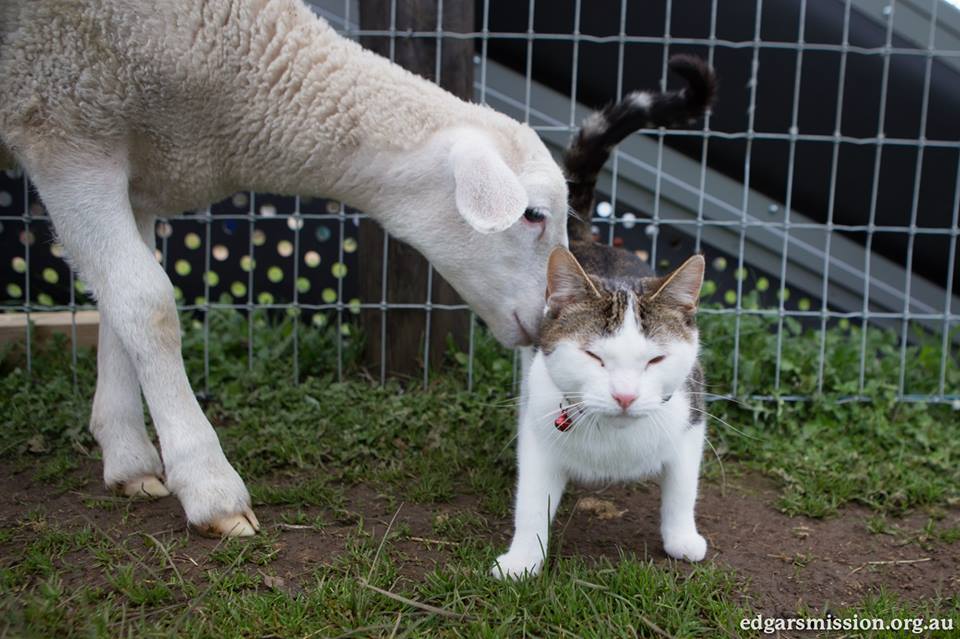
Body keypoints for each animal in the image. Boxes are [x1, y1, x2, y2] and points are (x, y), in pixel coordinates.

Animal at [1, 0, 568, 536]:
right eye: (533, 215)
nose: (549, 318)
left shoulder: (134, 172)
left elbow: (119, 308)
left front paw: (128, 461)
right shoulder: (65, 129)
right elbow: (148, 305)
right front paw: (208, 485)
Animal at [496, 55, 712, 580]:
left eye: (655, 360)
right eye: (594, 356)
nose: (626, 396)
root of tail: (588, 240)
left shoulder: (691, 422)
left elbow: (682, 489)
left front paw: (681, 537)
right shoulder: (537, 432)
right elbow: (531, 502)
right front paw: (523, 559)